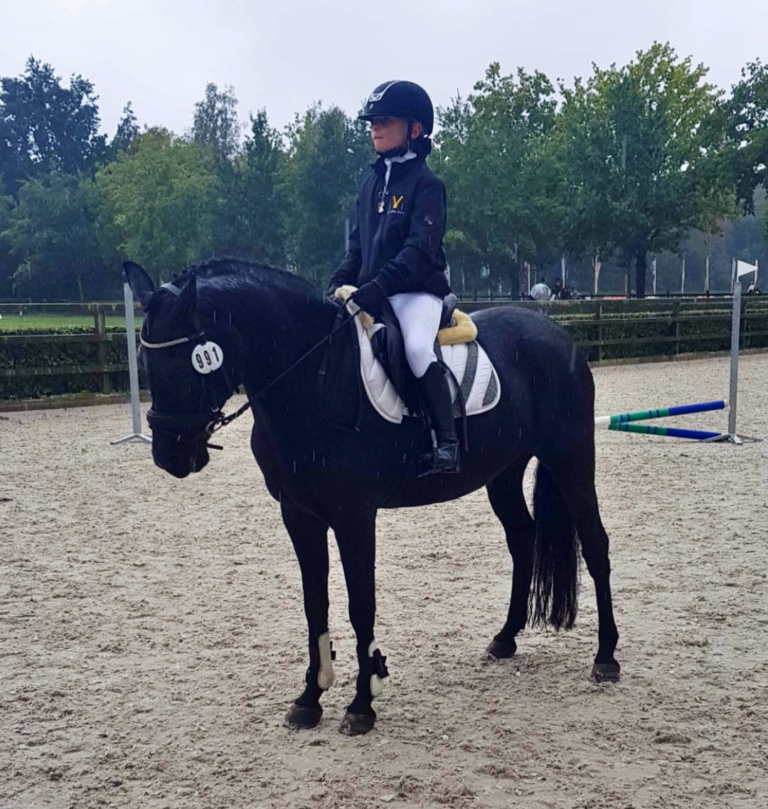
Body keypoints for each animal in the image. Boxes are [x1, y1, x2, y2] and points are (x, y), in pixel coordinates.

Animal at [124, 258, 616, 732]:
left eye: (183, 365)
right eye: (145, 363)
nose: (170, 456)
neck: (313, 380)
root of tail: (557, 334)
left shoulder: (354, 515)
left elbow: (361, 604)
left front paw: (362, 704)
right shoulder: (299, 515)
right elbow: (315, 604)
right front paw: (309, 699)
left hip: (570, 457)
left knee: (595, 543)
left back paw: (606, 657)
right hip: (504, 472)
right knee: (522, 539)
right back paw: (505, 638)